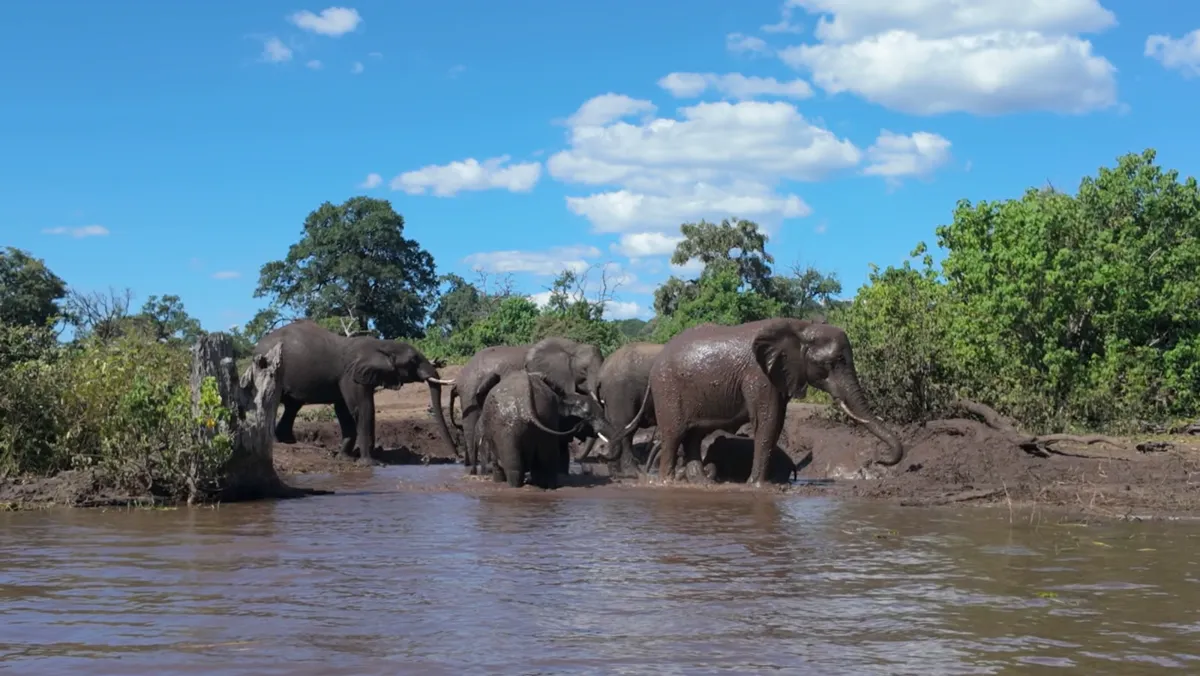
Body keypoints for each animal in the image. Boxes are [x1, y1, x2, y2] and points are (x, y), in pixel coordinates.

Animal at [255, 319, 456, 465]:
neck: (382, 344)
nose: (458, 458)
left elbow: (344, 411)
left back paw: (289, 441)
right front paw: (371, 463)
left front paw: (345, 458)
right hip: (271, 370)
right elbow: (362, 408)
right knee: (275, 402)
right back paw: (277, 441)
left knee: (292, 405)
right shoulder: (351, 375)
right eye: (413, 360)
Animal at [614, 317, 904, 485]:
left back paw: (701, 484)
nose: (878, 459)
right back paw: (667, 484)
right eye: (835, 362)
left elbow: (775, 423)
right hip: (667, 388)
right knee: (674, 434)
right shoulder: (759, 376)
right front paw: (759, 487)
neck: (801, 328)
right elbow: (768, 421)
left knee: (694, 436)